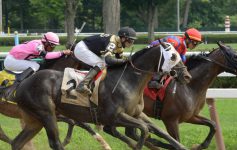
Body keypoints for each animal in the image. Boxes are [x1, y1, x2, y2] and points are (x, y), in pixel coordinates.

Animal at [9, 43, 192, 150]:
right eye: (173, 56)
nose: (187, 76)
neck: (129, 80)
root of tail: (22, 84)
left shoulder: (137, 114)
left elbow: (159, 131)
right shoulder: (114, 117)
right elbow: (144, 130)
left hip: (35, 120)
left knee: (17, 142)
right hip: (47, 114)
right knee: (55, 143)